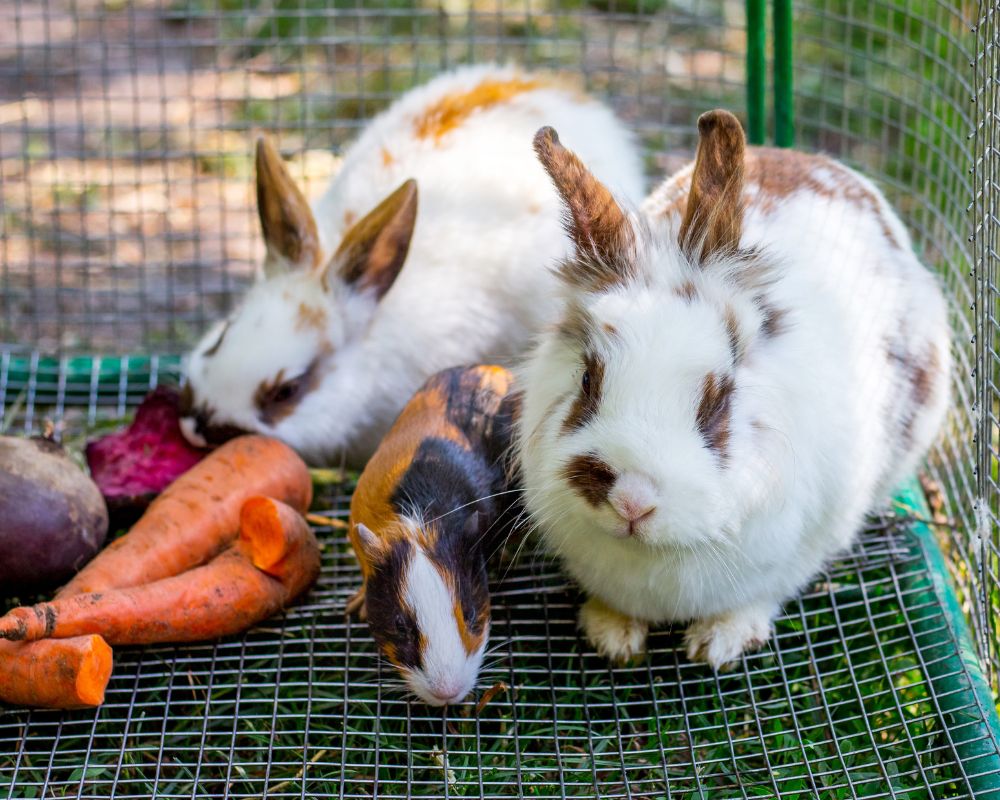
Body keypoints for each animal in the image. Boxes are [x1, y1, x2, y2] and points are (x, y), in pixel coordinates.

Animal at [348, 364, 519, 705]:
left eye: (470, 613)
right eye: (400, 625)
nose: (448, 693)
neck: (419, 523)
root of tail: (494, 369)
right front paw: (355, 606)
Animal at [515, 111, 951, 669]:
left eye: (717, 400)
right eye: (589, 380)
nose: (632, 500)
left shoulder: (807, 544)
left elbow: (762, 596)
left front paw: (718, 644)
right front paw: (612, 634)